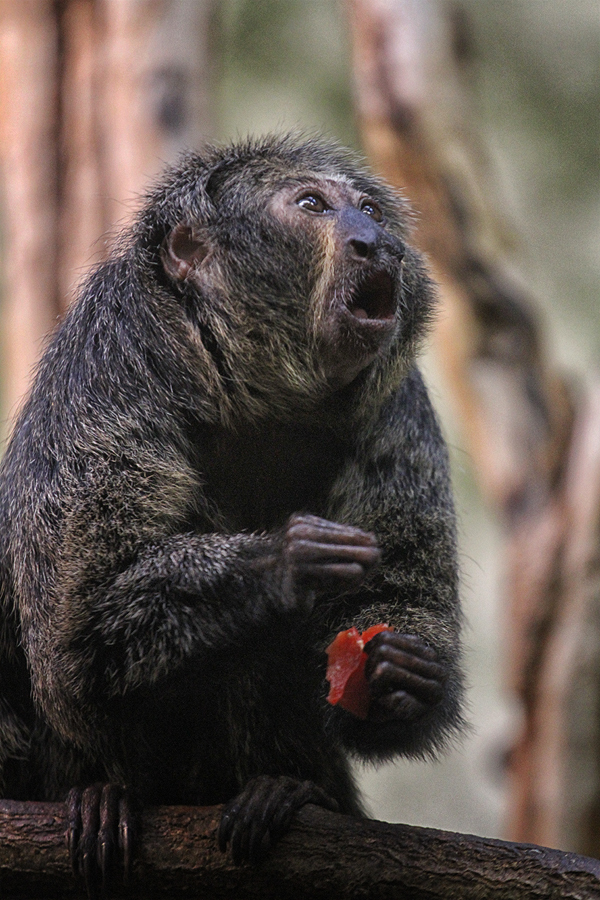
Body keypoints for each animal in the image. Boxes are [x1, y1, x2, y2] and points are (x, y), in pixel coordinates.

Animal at [0, 134, 464, 892]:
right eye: (312, 205)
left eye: (368, 211)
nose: (376, 244)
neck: (258, 398)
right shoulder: (108, 359)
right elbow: (80, 638)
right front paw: (285, 562)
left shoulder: (400, 409)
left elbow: (398, 594)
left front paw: (403, 675)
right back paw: (103, 797)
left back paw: (286, 789)